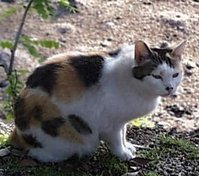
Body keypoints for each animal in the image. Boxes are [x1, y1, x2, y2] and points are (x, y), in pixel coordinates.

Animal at [10, 40, 185, 162]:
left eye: (175, 74)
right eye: (156, 76)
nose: (170, 88)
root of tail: (17, 134)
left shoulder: (122, 121)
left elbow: (123, 134)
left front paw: (127, 146)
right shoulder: (111, 123)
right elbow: (116, 139)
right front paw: (122, 154)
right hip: (73, 137)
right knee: (37, 154)